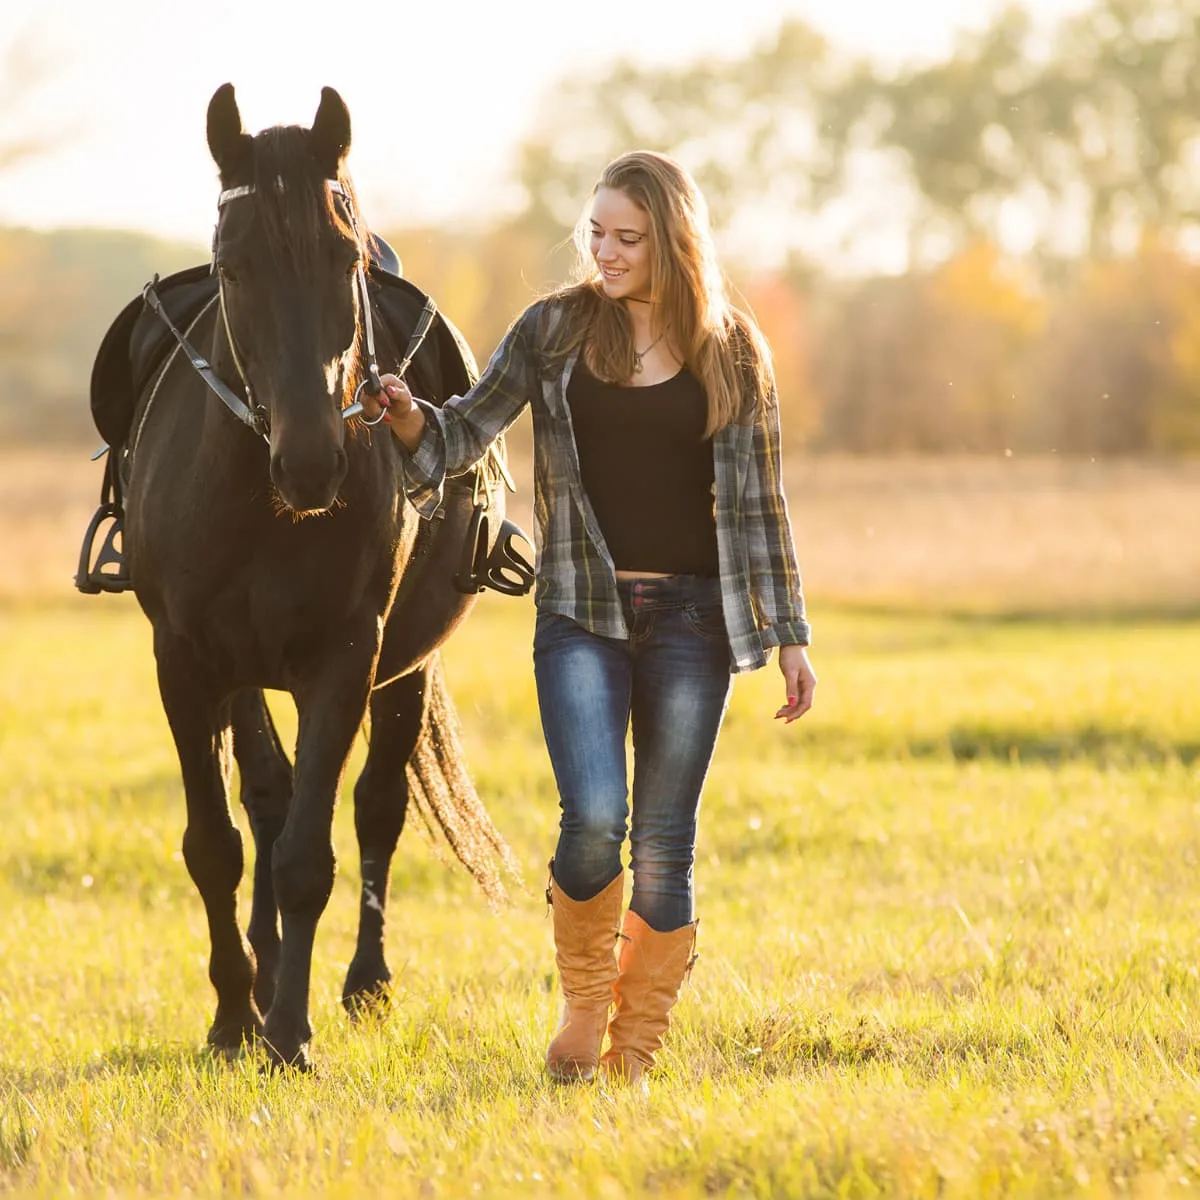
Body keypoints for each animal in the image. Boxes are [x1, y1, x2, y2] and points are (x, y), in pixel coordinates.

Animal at [87, 84, 528, 1070]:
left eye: (342, 256)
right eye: (233, 266)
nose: (313, 462)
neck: (263, 500)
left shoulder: (347, 656)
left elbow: (308, 854)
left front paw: (289, 1032)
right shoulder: (189, 661)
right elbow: (220, 841)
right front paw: (232, 1020)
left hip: (407, 668)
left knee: (374, 809)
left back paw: (364, 983)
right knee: (266, 800)